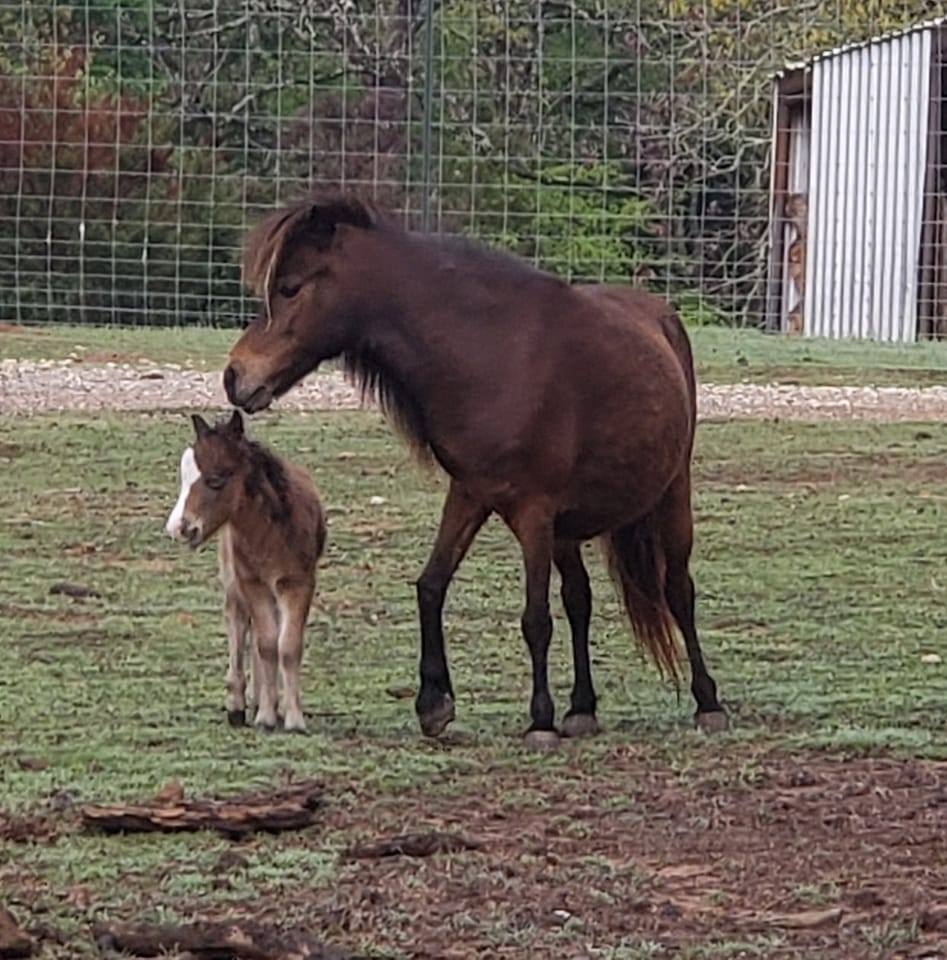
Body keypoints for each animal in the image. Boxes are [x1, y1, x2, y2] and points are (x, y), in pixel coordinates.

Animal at [165, 412, 324, 736]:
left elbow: (287, 646)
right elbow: (266, 644)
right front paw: (266, 716)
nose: (178, 529)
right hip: (234, 582)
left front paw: (293, 717)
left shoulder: (297, 583)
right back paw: (239, 704)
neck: (270, 533)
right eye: (184, 479)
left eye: (215, 480)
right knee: (238, 625)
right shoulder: (253, 583)